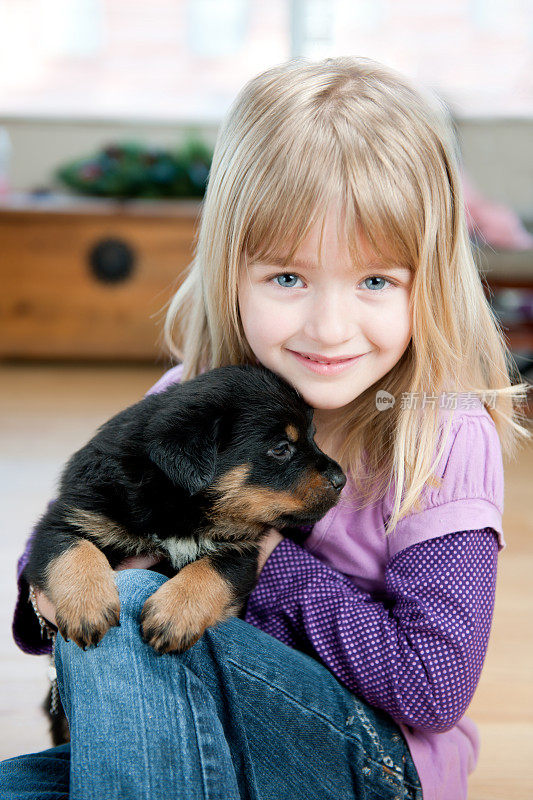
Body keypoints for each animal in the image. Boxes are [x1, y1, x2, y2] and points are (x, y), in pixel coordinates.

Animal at [25, 368, 344, 656]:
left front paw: (174, 614)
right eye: (281, 448)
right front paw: (88, 607)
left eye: (313, 436)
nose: (341, 480)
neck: (177, 506)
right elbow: (73, 550)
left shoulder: (241, 551)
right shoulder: (68, 518)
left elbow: (214, 570)